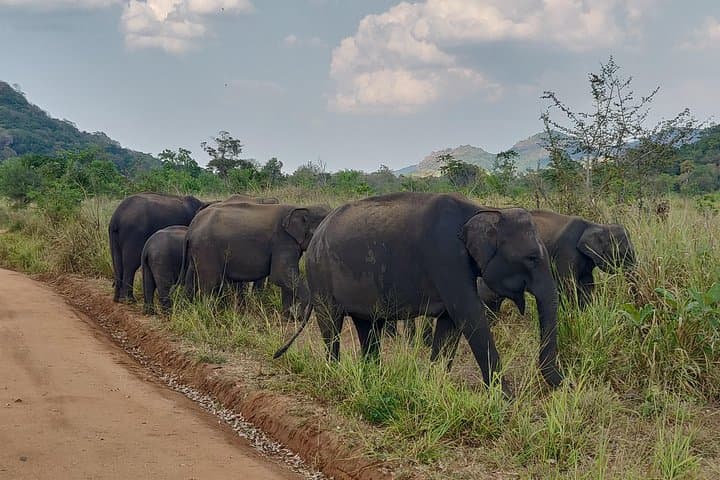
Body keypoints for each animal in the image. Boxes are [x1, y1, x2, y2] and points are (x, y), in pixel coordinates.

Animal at [182, 202, 331, 313]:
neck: (303, 207)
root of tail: (192, 227)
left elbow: (286, 279)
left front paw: (289, 317)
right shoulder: (282, 241)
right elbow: (280, 275)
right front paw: (299, 314)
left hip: (197, 252)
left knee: (191, 278)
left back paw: (189, 307)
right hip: (206, 249)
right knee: (209, 283)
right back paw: (209, 314)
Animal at [274, 192, 564, 390]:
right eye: (531, 258)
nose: (562, 383)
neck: (481, 211)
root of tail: (316, 236)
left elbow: (450, 323)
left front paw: (433, 384)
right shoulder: (446, 257)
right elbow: (469, 315)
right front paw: (505, 399)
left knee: (368, 327)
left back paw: (373, 378)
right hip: (321, 274)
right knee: (331, 324)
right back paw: (334, 373)